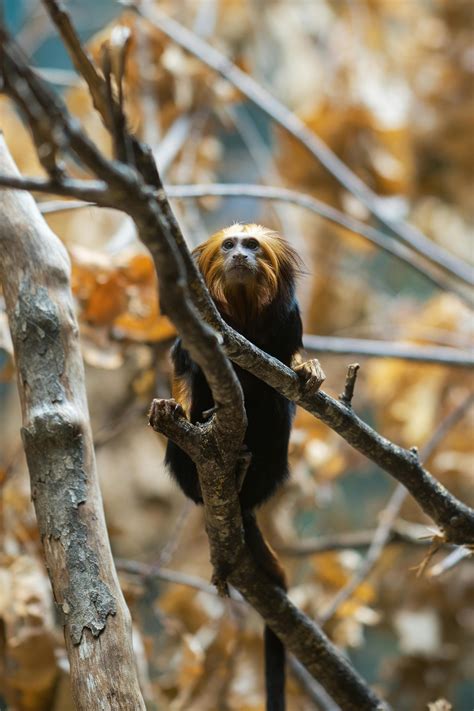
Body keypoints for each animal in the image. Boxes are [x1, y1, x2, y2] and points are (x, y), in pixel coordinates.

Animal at [165, 223, 303, 711]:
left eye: (253, 246)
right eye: (229, 246)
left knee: (276, 409)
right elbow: (184, 366)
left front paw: (312, 372)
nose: (240, 256)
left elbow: (289, 375)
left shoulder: (289, 321)